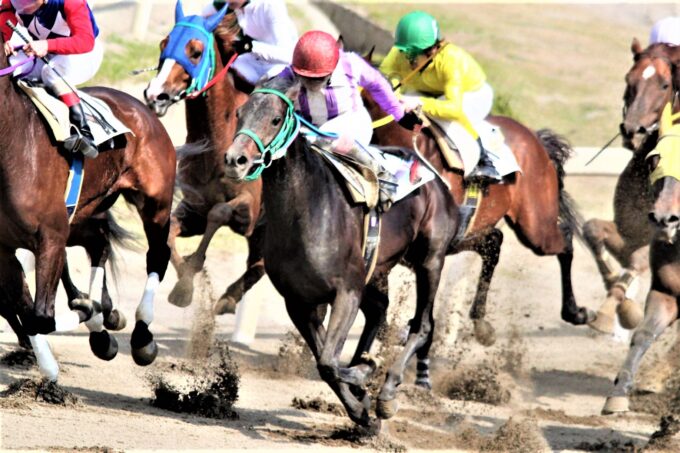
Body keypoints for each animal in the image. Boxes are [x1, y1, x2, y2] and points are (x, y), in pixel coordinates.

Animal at [0, 31, 178, 378]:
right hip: (85, 211)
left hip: (155, 202)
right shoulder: (4, 248)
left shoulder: (51, 236)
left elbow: (42, 317)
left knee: (157, 255)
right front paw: (50, 367)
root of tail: (141, 107)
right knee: (98, 242)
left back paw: (141, 336)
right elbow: (24, 309)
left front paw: (92, 314)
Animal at [143, 0, 262, 314]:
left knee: (260, 264)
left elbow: (219, 211)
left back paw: (229, 299)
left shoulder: (250, 211)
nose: (155, 95)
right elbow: (170, 231)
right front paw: (184, 285)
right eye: (163, 44)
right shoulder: (193, 209)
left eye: (195, 52)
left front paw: (191, 273)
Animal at [222, 77, 456, 428]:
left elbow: (330, 362)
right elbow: (324, 362)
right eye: (239, 113)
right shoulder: (300, 302)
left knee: (423, 325)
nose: (235, 160)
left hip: (430, 260)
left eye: (275, 119)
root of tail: (431, 174)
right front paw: (361, 410)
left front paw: (364, 377)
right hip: (379, 267)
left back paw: (387, 392)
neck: (306, 211)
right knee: (378, 311)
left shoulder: (346, 291)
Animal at [580, 40, 680, 334]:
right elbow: (592, 229)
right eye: (629, 79)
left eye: (664, 85)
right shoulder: (628, 232)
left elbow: (637, 263)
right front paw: (621, 303)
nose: (632, 130)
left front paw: (615, 314)